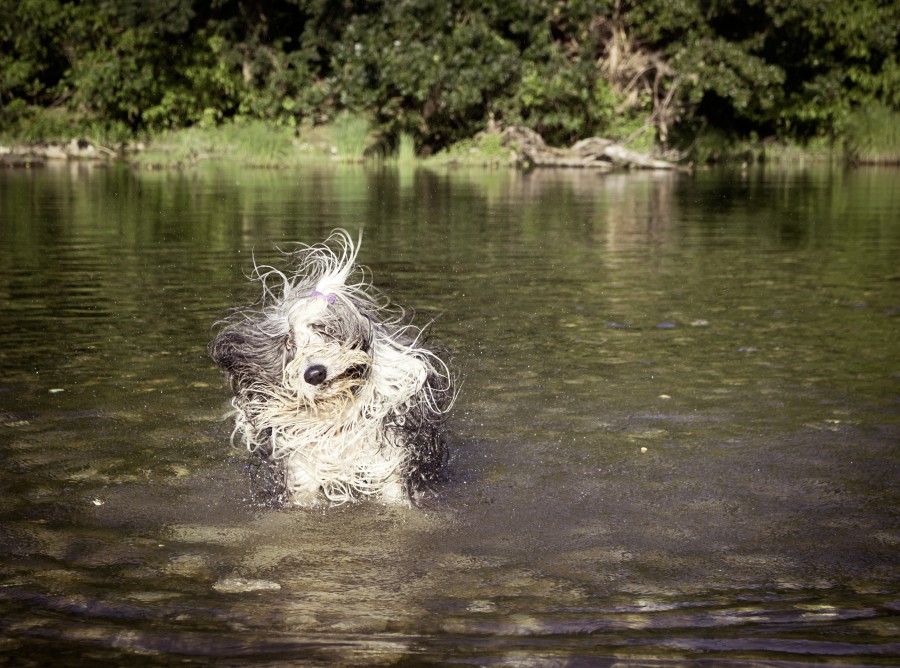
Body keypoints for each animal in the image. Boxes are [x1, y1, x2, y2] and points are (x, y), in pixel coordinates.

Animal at [208, 230, 454, 506]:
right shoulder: (303, 468)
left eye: (325, 329)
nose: (315, 373)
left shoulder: (388, 462)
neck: (339, 408)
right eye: (289, 343)